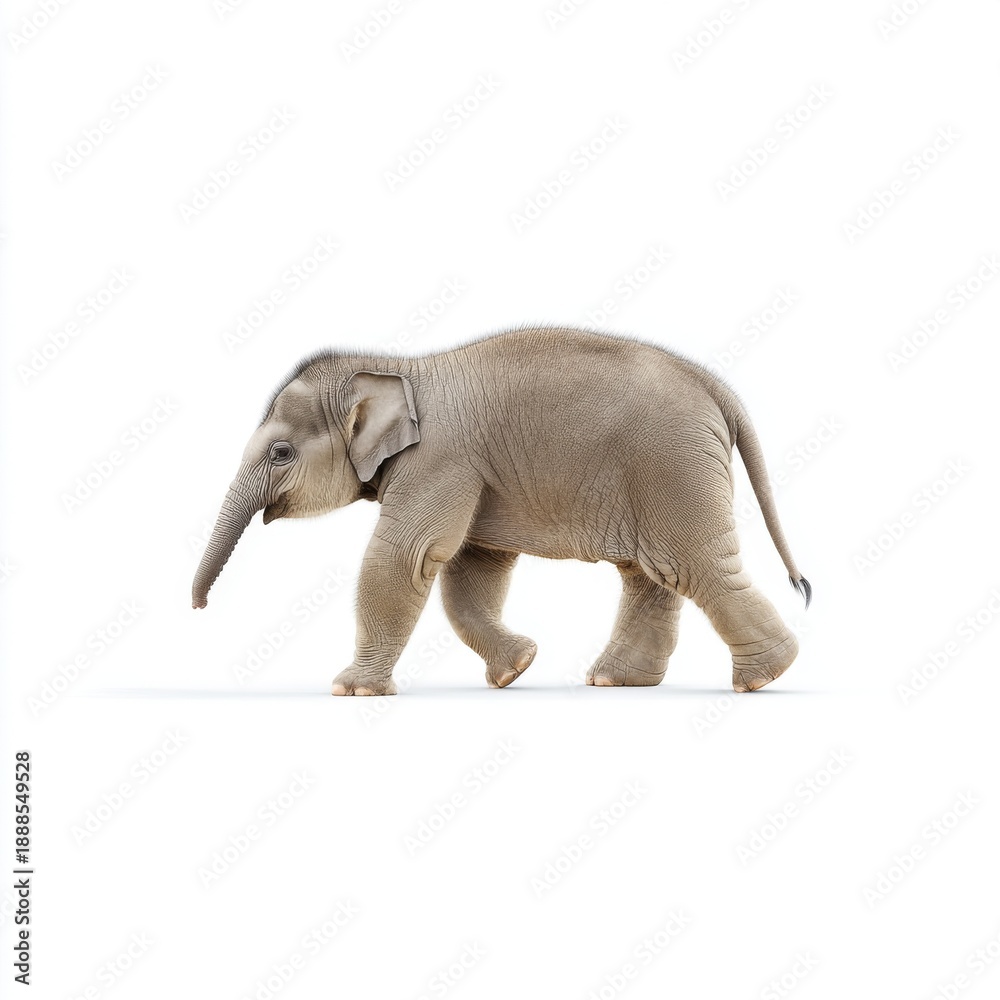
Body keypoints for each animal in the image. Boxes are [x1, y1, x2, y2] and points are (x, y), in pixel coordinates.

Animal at [192, 326, 811, 695]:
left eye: (280, 452)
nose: (199, 608)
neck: (397, 367)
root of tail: (716, 385)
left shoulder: (440, 460)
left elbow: (408, 557)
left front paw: (352, 690)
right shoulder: (470, 473)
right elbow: (470, 568)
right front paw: (517, 668)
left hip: (671, 466)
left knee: (691, 565)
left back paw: (763, 677)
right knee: (651, 573)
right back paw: (614, 680)